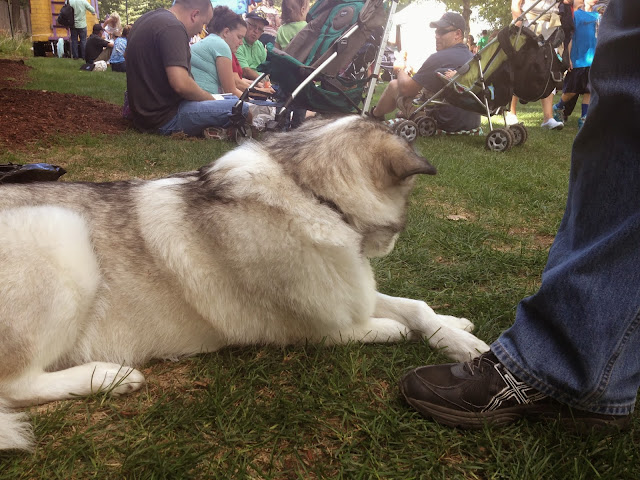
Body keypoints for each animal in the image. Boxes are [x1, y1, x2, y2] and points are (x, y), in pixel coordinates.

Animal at [0, 116, 489, 450]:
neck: (310, 194)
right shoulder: (322, 327)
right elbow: (388, 326)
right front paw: (404, 330)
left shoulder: (352, 291)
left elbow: (416, 307)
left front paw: (459, 337)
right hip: (62, 236)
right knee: (17, 385)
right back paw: (109, 376)